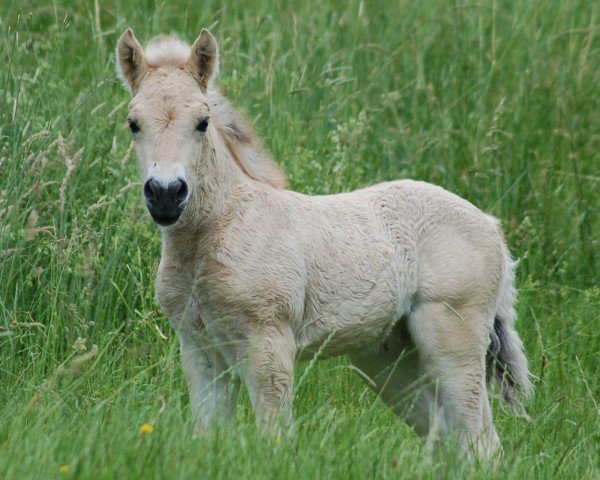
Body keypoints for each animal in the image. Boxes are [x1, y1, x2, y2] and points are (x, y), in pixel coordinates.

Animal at [116, 28, 528, 460]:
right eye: (133, 123)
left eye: (202, 122)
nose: (166, 194)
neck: (220, 232)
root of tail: (491, 226)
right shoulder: (199, 350)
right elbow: (207, 435)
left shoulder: (268, 344)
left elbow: (275, 436)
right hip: (390, 359)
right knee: (447, 437)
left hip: (453, 340)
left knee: (482, 443)